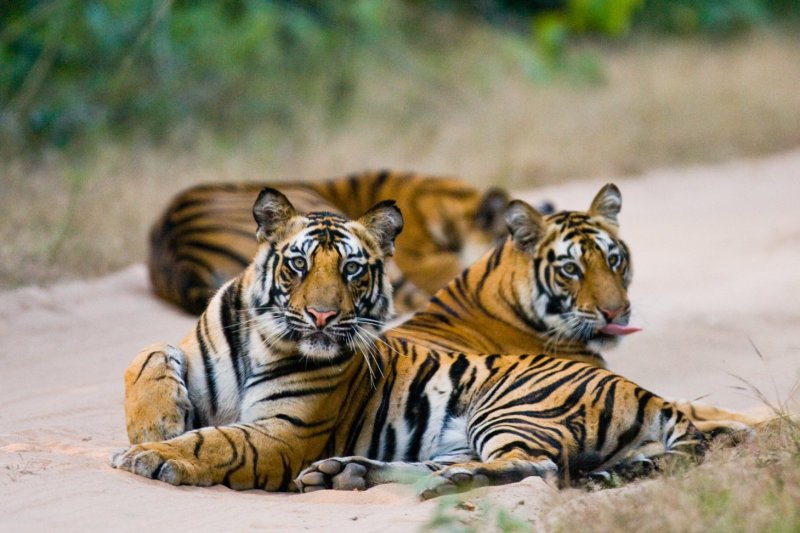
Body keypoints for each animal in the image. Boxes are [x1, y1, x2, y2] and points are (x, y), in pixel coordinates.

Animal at [114, 188, 705, 497]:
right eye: (299, 264)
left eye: (352, 269)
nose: (323, 314)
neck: (260, 338)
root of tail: (644, 391)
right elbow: (147, 353)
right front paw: (155, 423)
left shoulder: (285, 434)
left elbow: (216, 442)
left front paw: (151, 453)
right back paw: (349, 472)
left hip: (512, 408)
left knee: (538, 468)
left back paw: (449, 478)